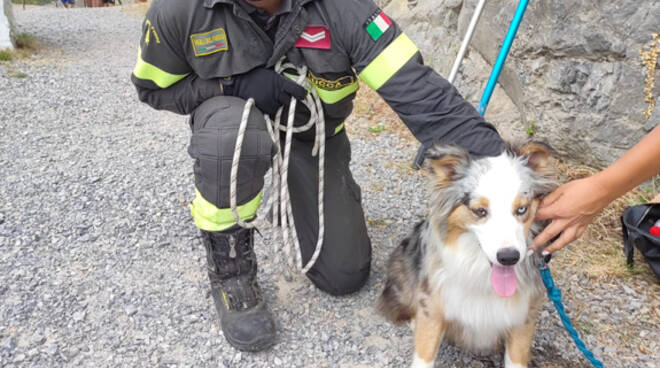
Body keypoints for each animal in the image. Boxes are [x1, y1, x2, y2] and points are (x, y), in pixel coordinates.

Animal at [376, 142, 556, 368]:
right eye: (479, 211)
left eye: (522, 209)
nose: (509, 257)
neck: (481, 274)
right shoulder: (433, 305)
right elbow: (424, 353)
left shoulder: (523, 316)